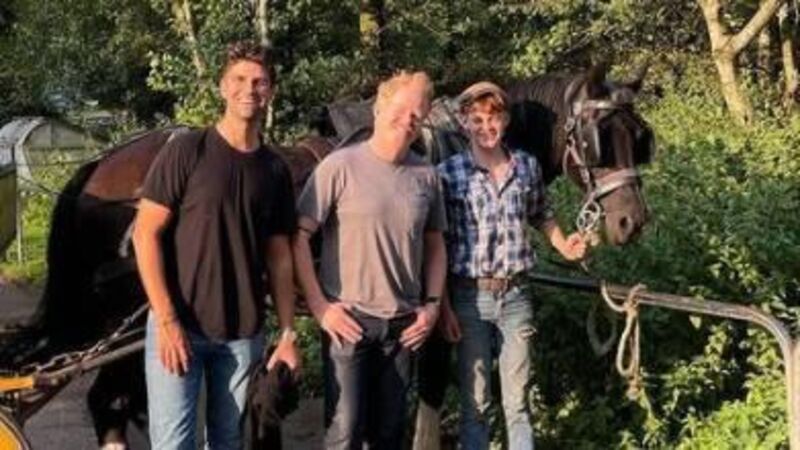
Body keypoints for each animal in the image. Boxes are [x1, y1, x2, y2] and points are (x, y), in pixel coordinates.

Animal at [3, 62, 653, 448]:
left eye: (639, 137)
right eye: (599, 138)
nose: (631, 220)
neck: (453, 146)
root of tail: (99, 164)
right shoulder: (433, 312)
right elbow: (426, 396)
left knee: (105, 400)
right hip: (135, 318)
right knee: (108, 398)